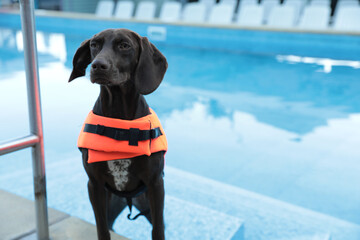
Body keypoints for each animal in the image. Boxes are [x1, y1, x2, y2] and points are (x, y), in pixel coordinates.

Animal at [68, 28, 167, 240]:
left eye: (124, 45)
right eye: (94, 45)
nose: (98, 65)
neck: (119, 116)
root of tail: (128, 200)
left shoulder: (156, 185)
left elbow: (158, 230)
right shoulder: (94, 186)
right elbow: (102, 228)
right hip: (111, 204)